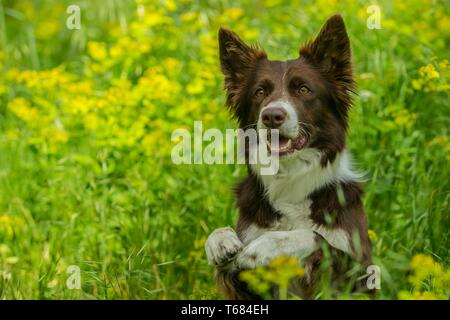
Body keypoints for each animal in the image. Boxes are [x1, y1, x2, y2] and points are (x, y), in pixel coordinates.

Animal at [205, 14, 372, 300]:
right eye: (259, 92)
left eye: (303, 89)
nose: (272, 116)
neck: (290, 180)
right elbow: (220, 237)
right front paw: (221, 242)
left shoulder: (359, 273)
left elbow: (313, 236)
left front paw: (265, 247)